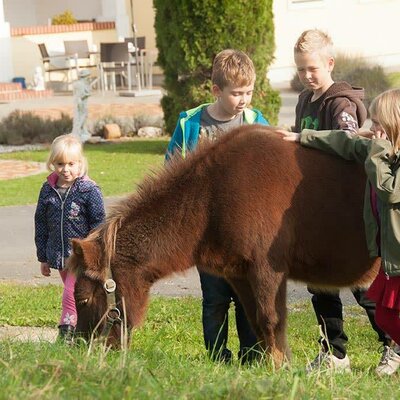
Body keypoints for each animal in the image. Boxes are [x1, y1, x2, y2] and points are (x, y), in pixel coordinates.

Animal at [68, 124, 378, 366]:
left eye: (83, 299)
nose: (80, 351)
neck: (211, 196)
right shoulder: (239, 273)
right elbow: (255, 320)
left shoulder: (268, 270)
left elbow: (271, 319)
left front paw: (279, 367)